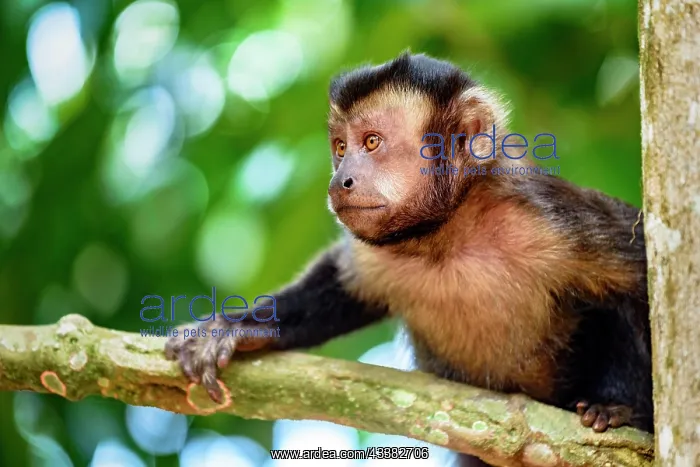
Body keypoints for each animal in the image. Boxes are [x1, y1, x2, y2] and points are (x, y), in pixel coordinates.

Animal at [164, 52, 653, 465]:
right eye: (340, 147)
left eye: (371, 142)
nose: (339, 180)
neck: (446, 236)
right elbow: (341, 287)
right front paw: (241, 327)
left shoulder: (548, 219)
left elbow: (639, 274)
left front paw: (624, 407)